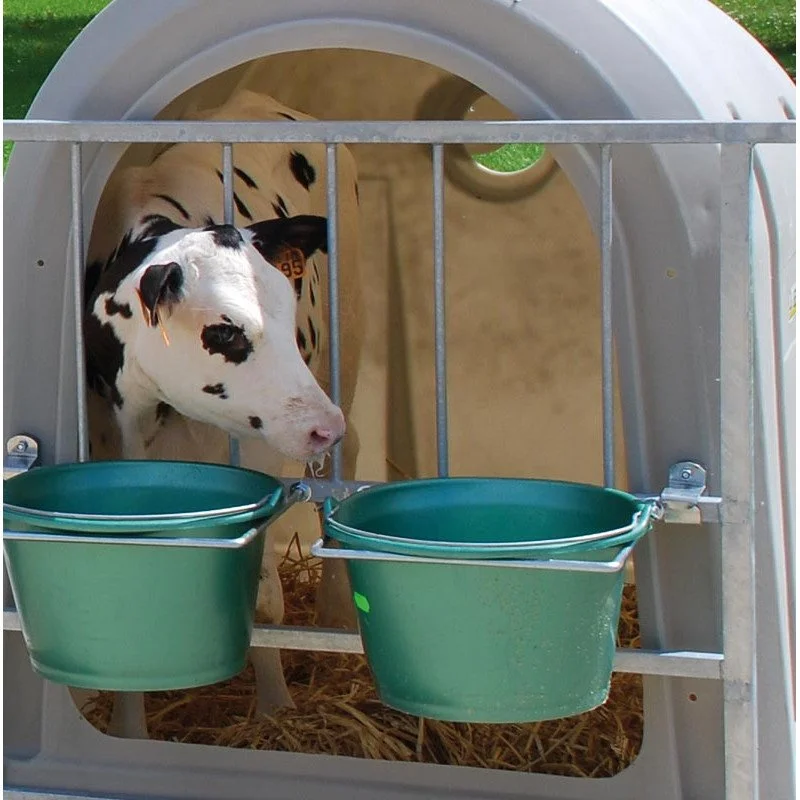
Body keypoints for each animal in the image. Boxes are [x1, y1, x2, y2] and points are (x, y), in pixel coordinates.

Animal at [80, 90, 362, 737]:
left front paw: (275, 711)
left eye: (288, 309)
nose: (322, 426)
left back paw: (337, 616)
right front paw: (128, 731)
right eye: (226, 331)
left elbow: (262, 594)